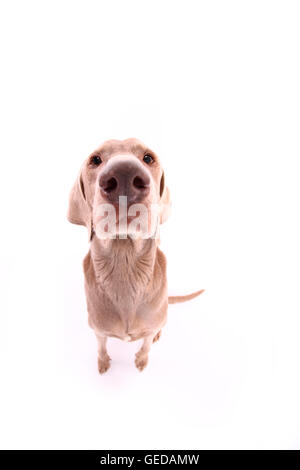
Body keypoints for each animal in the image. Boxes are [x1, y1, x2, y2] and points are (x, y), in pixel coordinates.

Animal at [68, 138, 204, 372]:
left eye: (148, 158)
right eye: (95, 159)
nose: (124, 175)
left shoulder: (150, 327)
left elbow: (146, 343)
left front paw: (141, 360)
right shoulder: (98, 329)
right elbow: (101, 346)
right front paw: (103, 363)